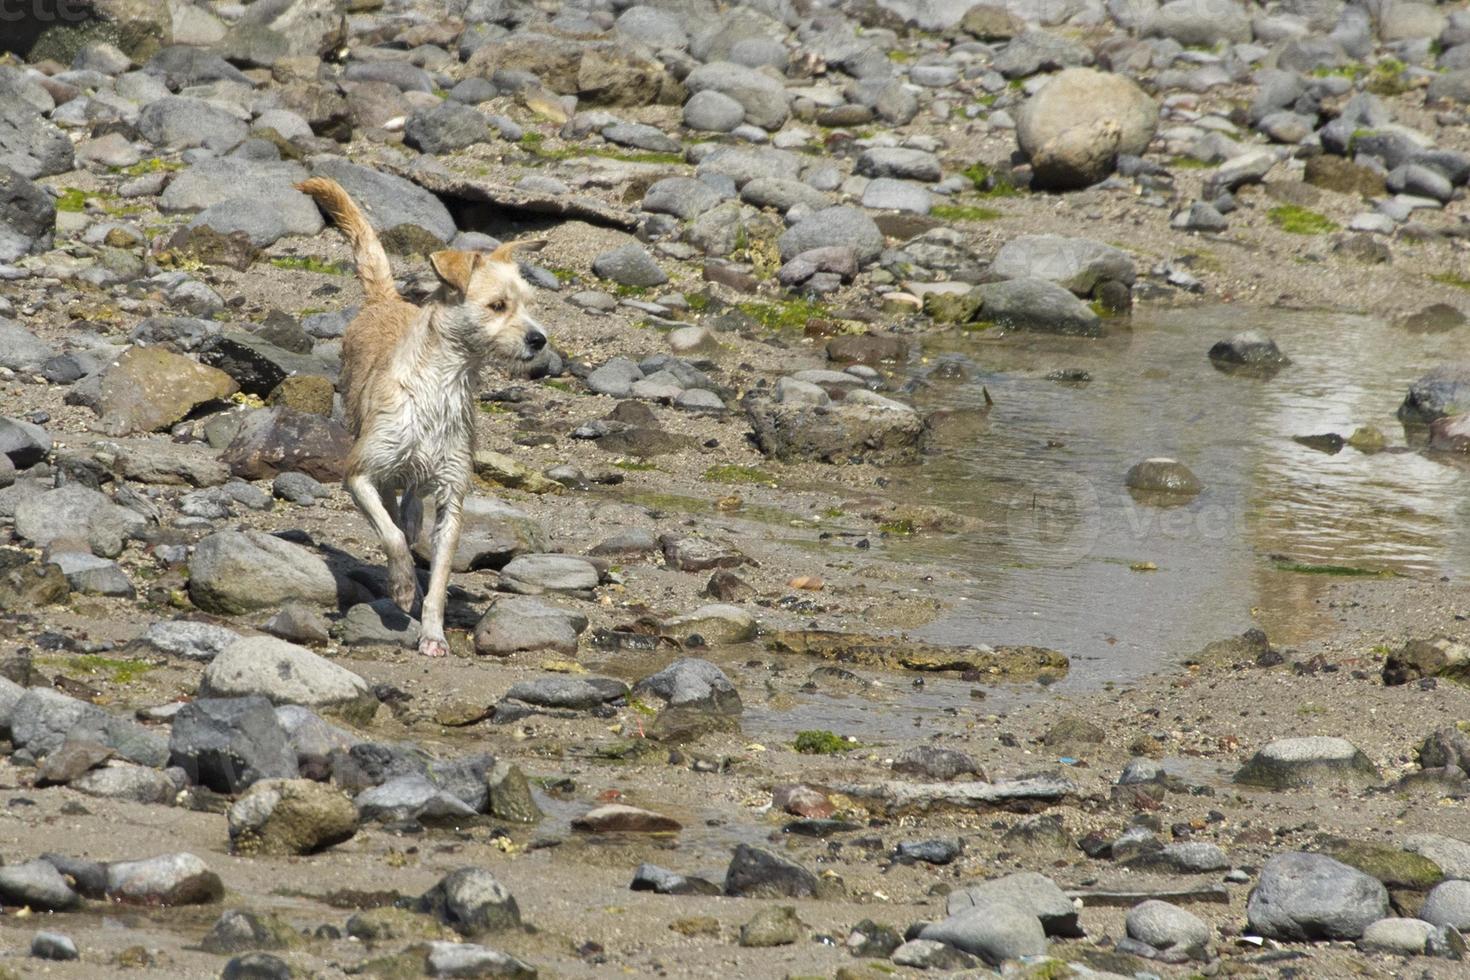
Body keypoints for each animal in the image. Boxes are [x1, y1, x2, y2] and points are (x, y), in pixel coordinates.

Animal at [296, 178, 546, 658]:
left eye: (528, 305)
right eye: (497, 305)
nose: (539, 339)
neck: (443, 383)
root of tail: (386, 298)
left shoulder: (452, 494)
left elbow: (441, 577)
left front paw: (432, 632)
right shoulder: (358, 472)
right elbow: (389, 536)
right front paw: (402, 586)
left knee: (410, 501)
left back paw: (412, 519)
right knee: (392, 506)